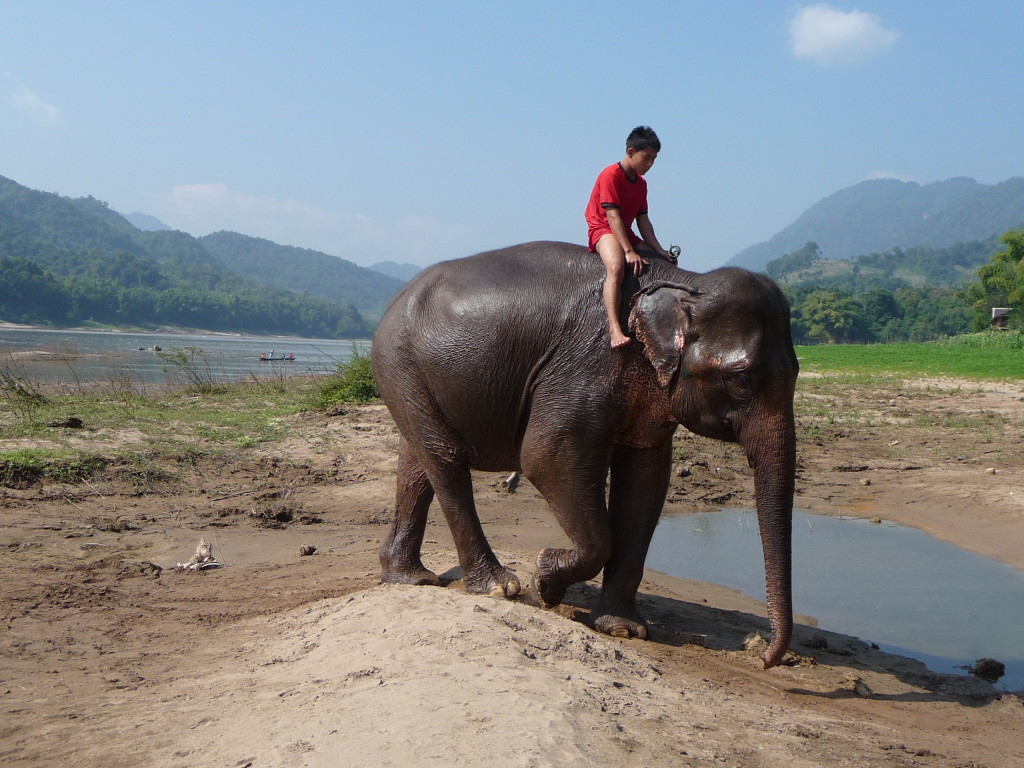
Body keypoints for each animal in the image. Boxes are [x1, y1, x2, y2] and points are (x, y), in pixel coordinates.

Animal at [370, 240, 798, 667]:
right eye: (741, 380)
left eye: (795, 371)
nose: (764, 657)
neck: (685, 281)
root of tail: (394, 302)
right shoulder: (585, 364)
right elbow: (545, 456)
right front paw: (546, 581)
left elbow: (646, 481)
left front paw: (622, 628)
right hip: (399, 365)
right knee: (445, 459)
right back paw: (499, 587)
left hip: (412, 379)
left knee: (416, 464)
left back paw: (412, 577)